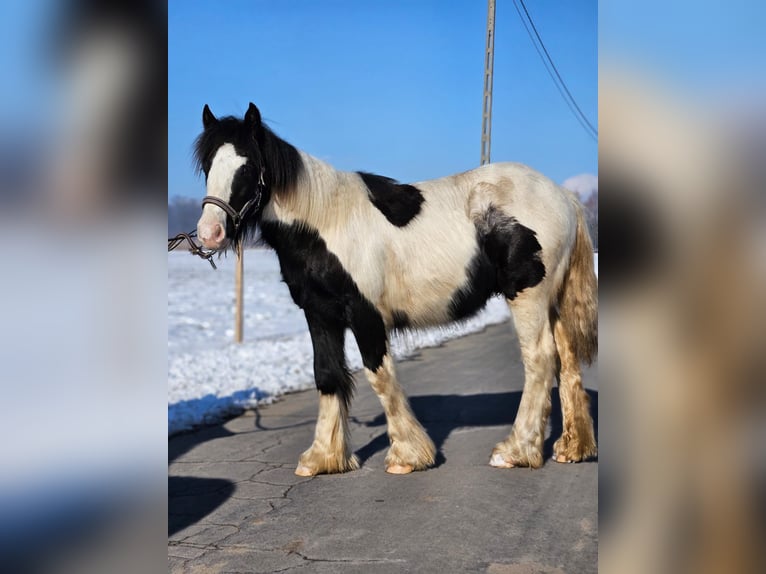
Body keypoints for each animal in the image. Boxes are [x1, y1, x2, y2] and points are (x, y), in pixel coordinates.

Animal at [194, 102, 600, 476]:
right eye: (208, 167)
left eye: (247, 167)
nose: (209, 233)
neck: (326, 222)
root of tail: (564, 196)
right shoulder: (320, 313)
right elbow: (327, 375)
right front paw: (323, 458)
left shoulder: (365, 314)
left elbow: (380, 375)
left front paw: (408, 456)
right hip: (554, 300)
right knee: (567, 359)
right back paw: (572, 448)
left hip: (529, 296)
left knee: (540, 359)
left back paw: (515, 450)